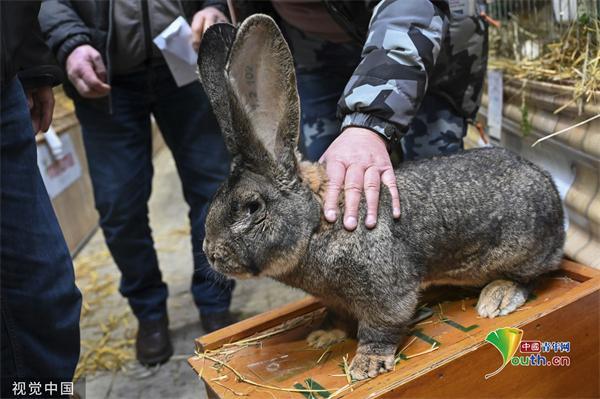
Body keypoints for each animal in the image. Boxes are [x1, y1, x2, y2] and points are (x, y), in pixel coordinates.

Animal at [199, 14, 564, 380]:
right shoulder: (337, 299)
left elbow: (382, 324)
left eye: (252, 207)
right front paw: (323, 335)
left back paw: (497, 297)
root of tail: (551, 192)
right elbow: (339, 316)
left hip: (521, 250)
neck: (317, 224)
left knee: (533, 276)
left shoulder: (384, 291)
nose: (211, 254)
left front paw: (366, 364)